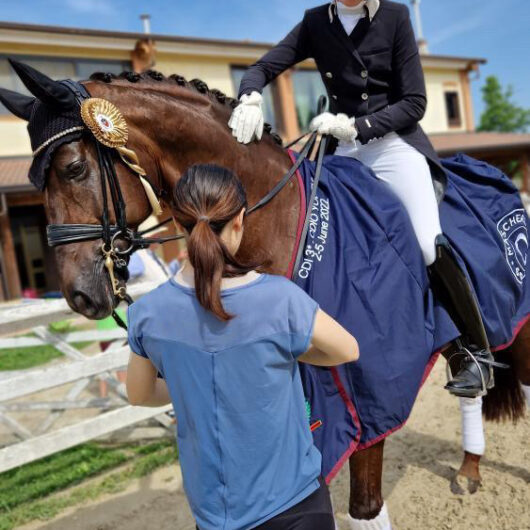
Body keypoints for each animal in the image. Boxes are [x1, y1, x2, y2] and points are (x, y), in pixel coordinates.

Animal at [1, 64, 524, 520]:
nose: (78, 295)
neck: (278, 218)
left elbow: (364, 506)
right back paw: (469, 470)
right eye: (33, 181)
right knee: (472, 396)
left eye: (72, 168)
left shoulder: (370, 389)